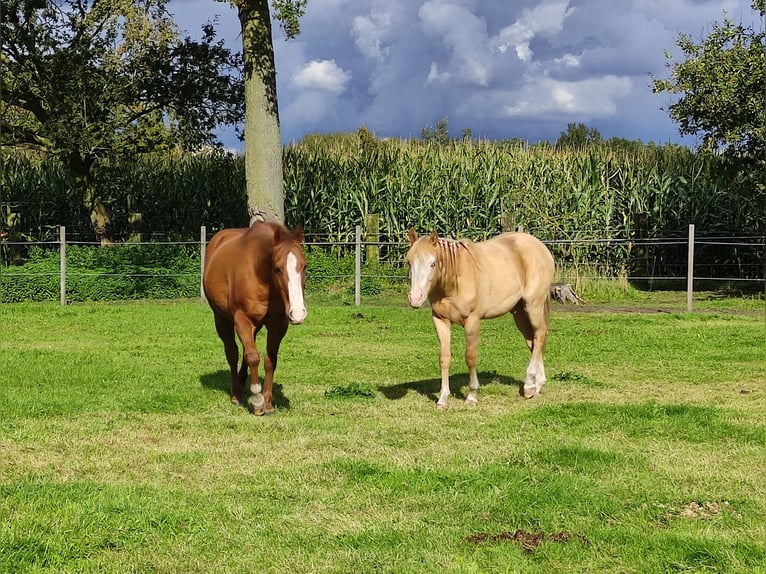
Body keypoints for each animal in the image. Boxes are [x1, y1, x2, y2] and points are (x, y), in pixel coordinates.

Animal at [207, 223, 308, 416]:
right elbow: (253, 356)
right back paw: (236, 394)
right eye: (277, 268)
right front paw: (257, 401)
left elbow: (270, 360)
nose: (298, 313)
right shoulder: (242, 320)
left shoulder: (278, 324)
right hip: (222, 319)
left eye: (304, 266)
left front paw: (267, 402)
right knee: (233, 353)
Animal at [404, 230, 556, 410]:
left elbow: (470, 357)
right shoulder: (440, 321)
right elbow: (444, 358)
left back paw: (529, 386)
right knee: (533, 342)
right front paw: (442, 399)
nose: (415, 298)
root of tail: (540, 246)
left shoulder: (472, 321)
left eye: (433, 264)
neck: (454, 283)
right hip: (519, 312)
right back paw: (538, 386)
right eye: (409, 263)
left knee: (540, 334)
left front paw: (471, 396)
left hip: (533, 306)